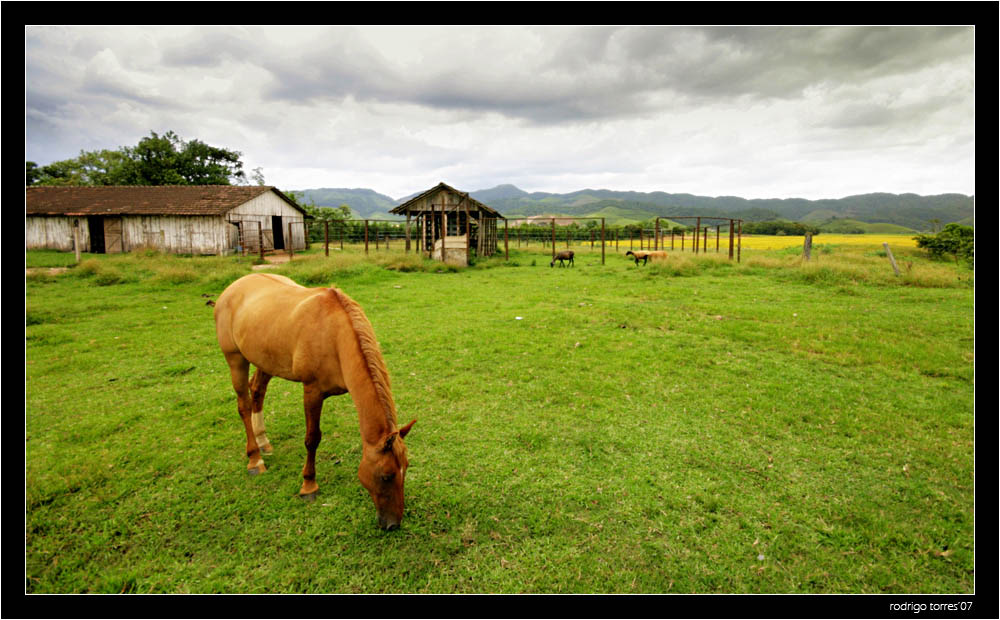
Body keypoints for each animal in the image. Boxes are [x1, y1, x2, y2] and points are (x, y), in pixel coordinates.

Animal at [213, 274, 416, 532]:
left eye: (406, 467)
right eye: (386, 475)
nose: (393, 524)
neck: (335, 336)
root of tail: (231, 289)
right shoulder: (312, 391)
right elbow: (312, 439)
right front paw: (308, 485)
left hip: (265, 359)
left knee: (257, 391)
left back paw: (263, 441)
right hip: (236, 359)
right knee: (244, 405)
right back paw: (255, 459)